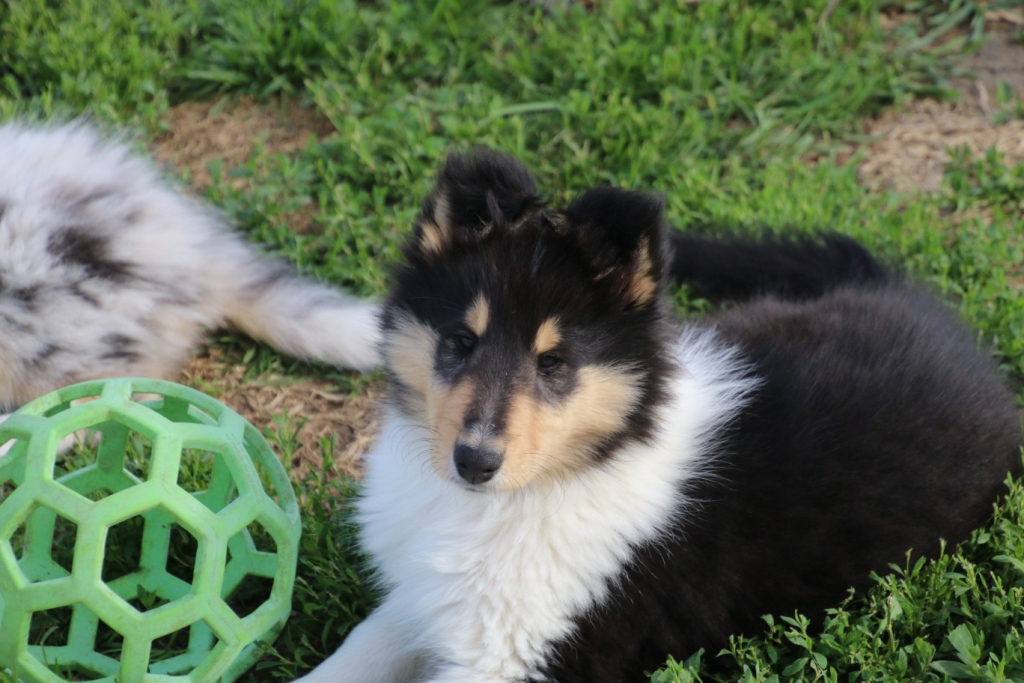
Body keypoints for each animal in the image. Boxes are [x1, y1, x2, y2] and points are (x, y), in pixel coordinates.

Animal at [294, 150, 1022, 683]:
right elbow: (356, 649)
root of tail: (927, 313)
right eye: (459, 341)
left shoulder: (521, 651)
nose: (473, 461)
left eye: (554, 363)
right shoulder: (422, 596)